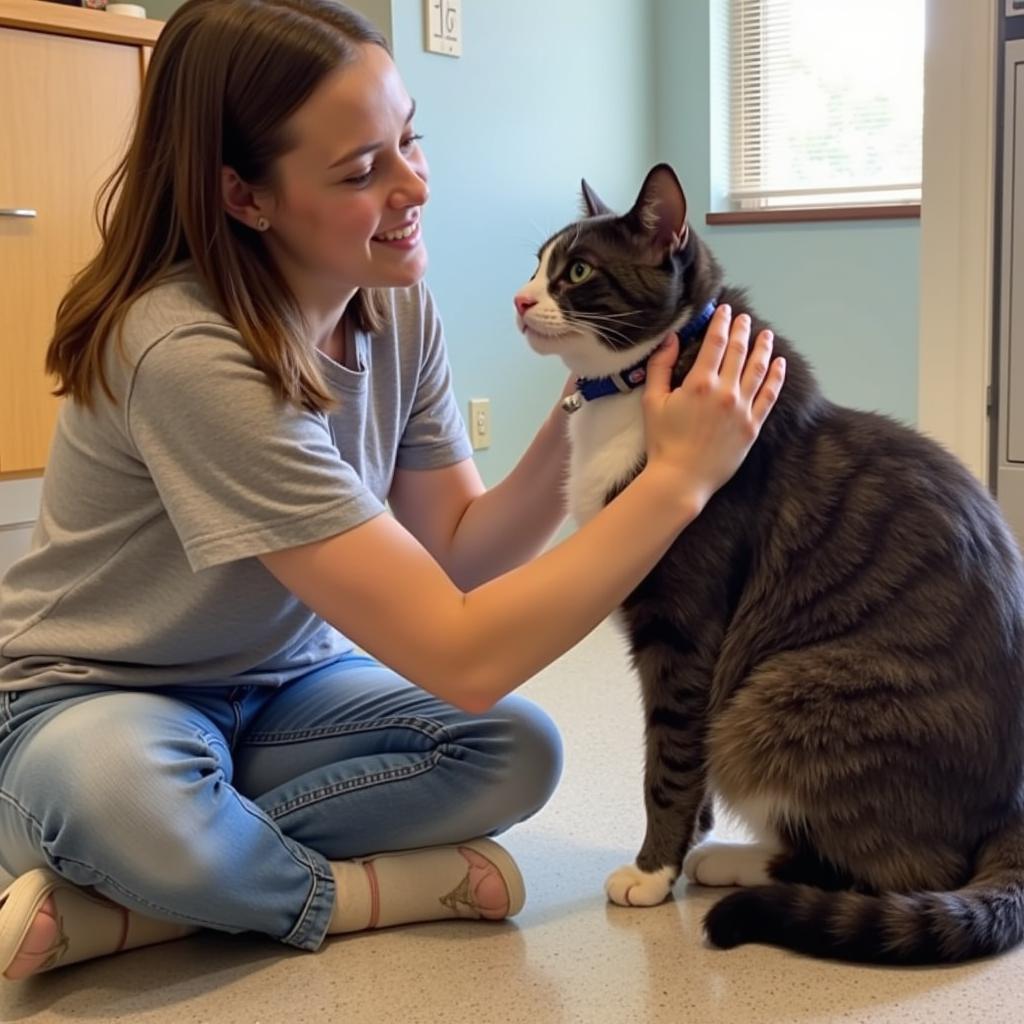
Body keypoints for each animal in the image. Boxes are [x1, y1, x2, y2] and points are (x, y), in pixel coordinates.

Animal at [512, 163, 1024, 962]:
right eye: (536, 263)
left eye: (579, 271)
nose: (520, 298)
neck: (638, 392)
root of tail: (1010, 806)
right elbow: (687, 767)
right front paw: (683, 848)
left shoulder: (684, 627)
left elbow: (671, 757)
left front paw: (653, 872)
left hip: (774, 701)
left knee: (906, 868)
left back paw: (735, 866)